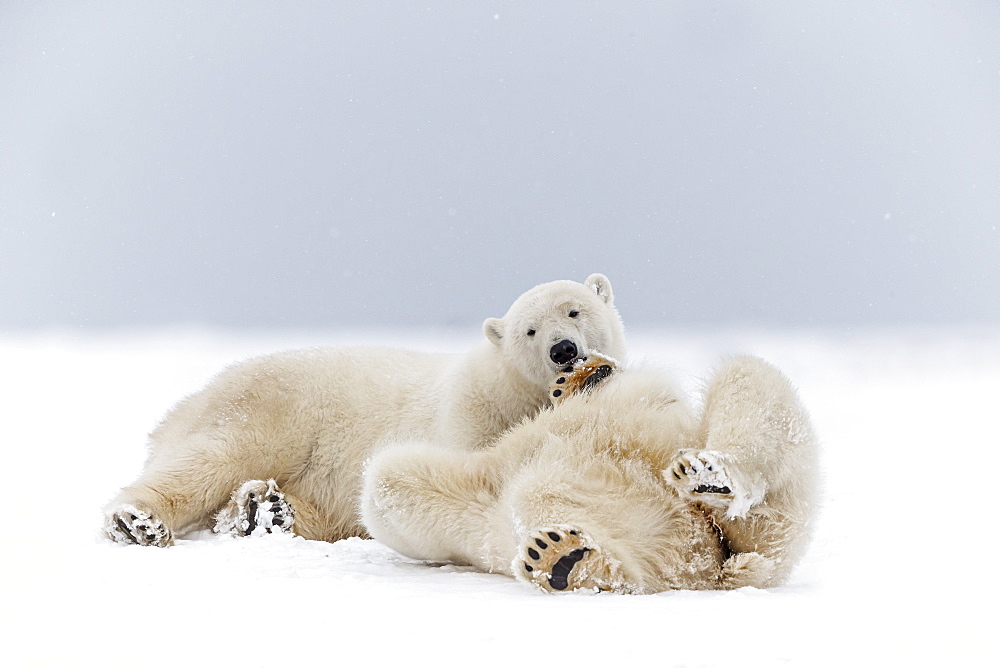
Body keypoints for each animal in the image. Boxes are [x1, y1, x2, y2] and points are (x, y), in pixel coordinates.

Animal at [105, 274, 628, 544]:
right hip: (270, 408)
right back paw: (137, 521)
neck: (515, 392)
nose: (563, 350)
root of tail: (188, 402)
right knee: (212, 458)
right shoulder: (472, 415)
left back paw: (264, 510)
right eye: (529, 331)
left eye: (574, 310)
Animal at [364, 352, 816, 592]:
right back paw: (568, 560)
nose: (578, 360)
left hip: (773, 515)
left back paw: (711, 476)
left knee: (748, 378)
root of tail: (713, 565)